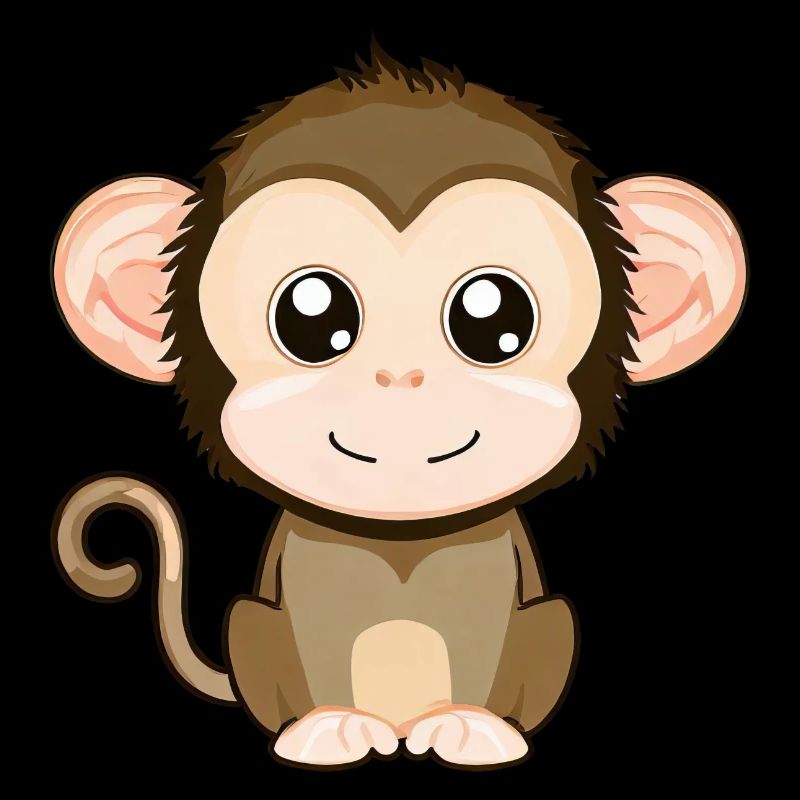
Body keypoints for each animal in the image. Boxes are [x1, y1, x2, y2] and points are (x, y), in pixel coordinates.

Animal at [51, 43, 748, 769]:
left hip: (552, 621)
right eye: (310, 314)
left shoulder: (490, 582)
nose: (400, 376)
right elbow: (321, 636)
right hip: (251, 624)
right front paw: (330, 726)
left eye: (495, 316)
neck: (401, 537)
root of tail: (403, 721)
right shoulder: (310, 582)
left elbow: (480, 636)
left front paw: (472, 725)